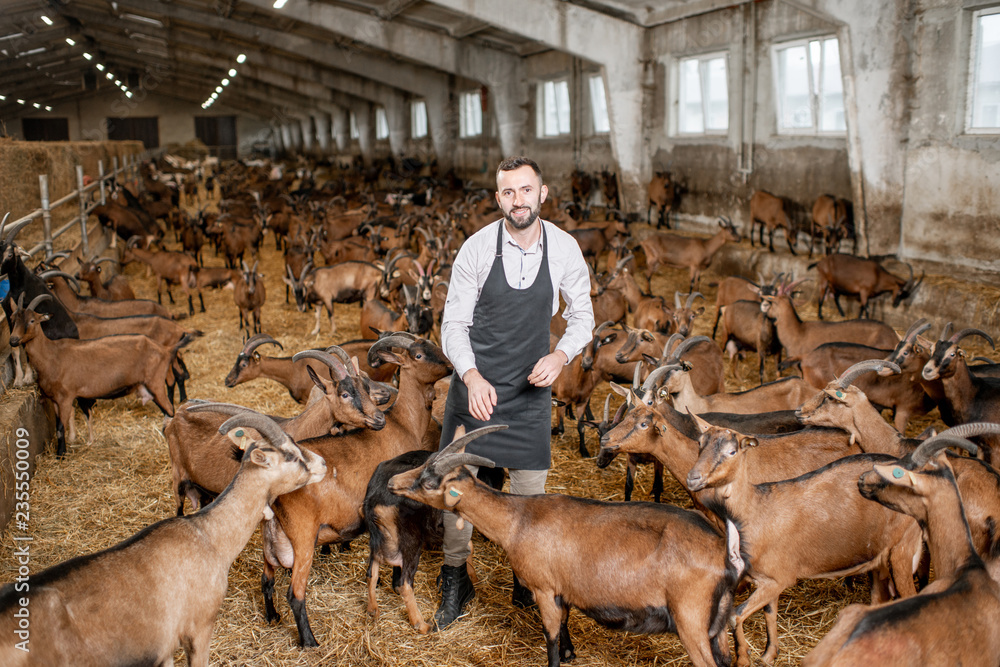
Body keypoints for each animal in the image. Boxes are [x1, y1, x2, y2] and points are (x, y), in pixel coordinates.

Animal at [8, 294, 193, 456]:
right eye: (12, 318)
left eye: (32, 320)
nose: (13, 340)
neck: (52, 354)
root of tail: (165, 350)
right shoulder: (54, 399)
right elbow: (59, 426)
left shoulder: (65, 397)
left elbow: (60, 427)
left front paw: (60, 454)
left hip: (155, 382)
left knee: (169, 408)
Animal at [390, 426, 744, 667]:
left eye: (428, 482)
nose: (393, 483)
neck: (518, 520)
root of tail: (725, 554)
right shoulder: (564, 589)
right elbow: (564, 625)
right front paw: (571, 651)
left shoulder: (544, 588)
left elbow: (550, 634)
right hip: (718, 627)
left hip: (691, 620)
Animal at [688, 414, 920, 664]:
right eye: (700, 444)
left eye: (732, 451)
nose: (693, 478)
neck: (754, 510)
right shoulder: (767, 580)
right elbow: (770, 612)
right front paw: (769, 655)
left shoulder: (779, 578)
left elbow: (735, 615)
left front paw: (743, 658)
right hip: (878, 556)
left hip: (903, 549)